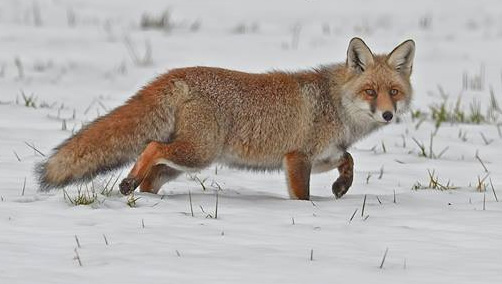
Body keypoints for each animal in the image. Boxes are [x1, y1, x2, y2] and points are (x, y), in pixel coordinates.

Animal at [36, 38, 416, 200]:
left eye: (393, 92)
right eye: (371, 91)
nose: (387, 114)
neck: (334, 104)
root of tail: (178, 74)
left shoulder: (322, 155)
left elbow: (349, 159)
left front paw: (342, 186)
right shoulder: (297, 158)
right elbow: (303, 196)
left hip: (182, 165)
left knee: (152, 174)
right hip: (198, 154)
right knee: (151, 147)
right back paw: (130, 183)